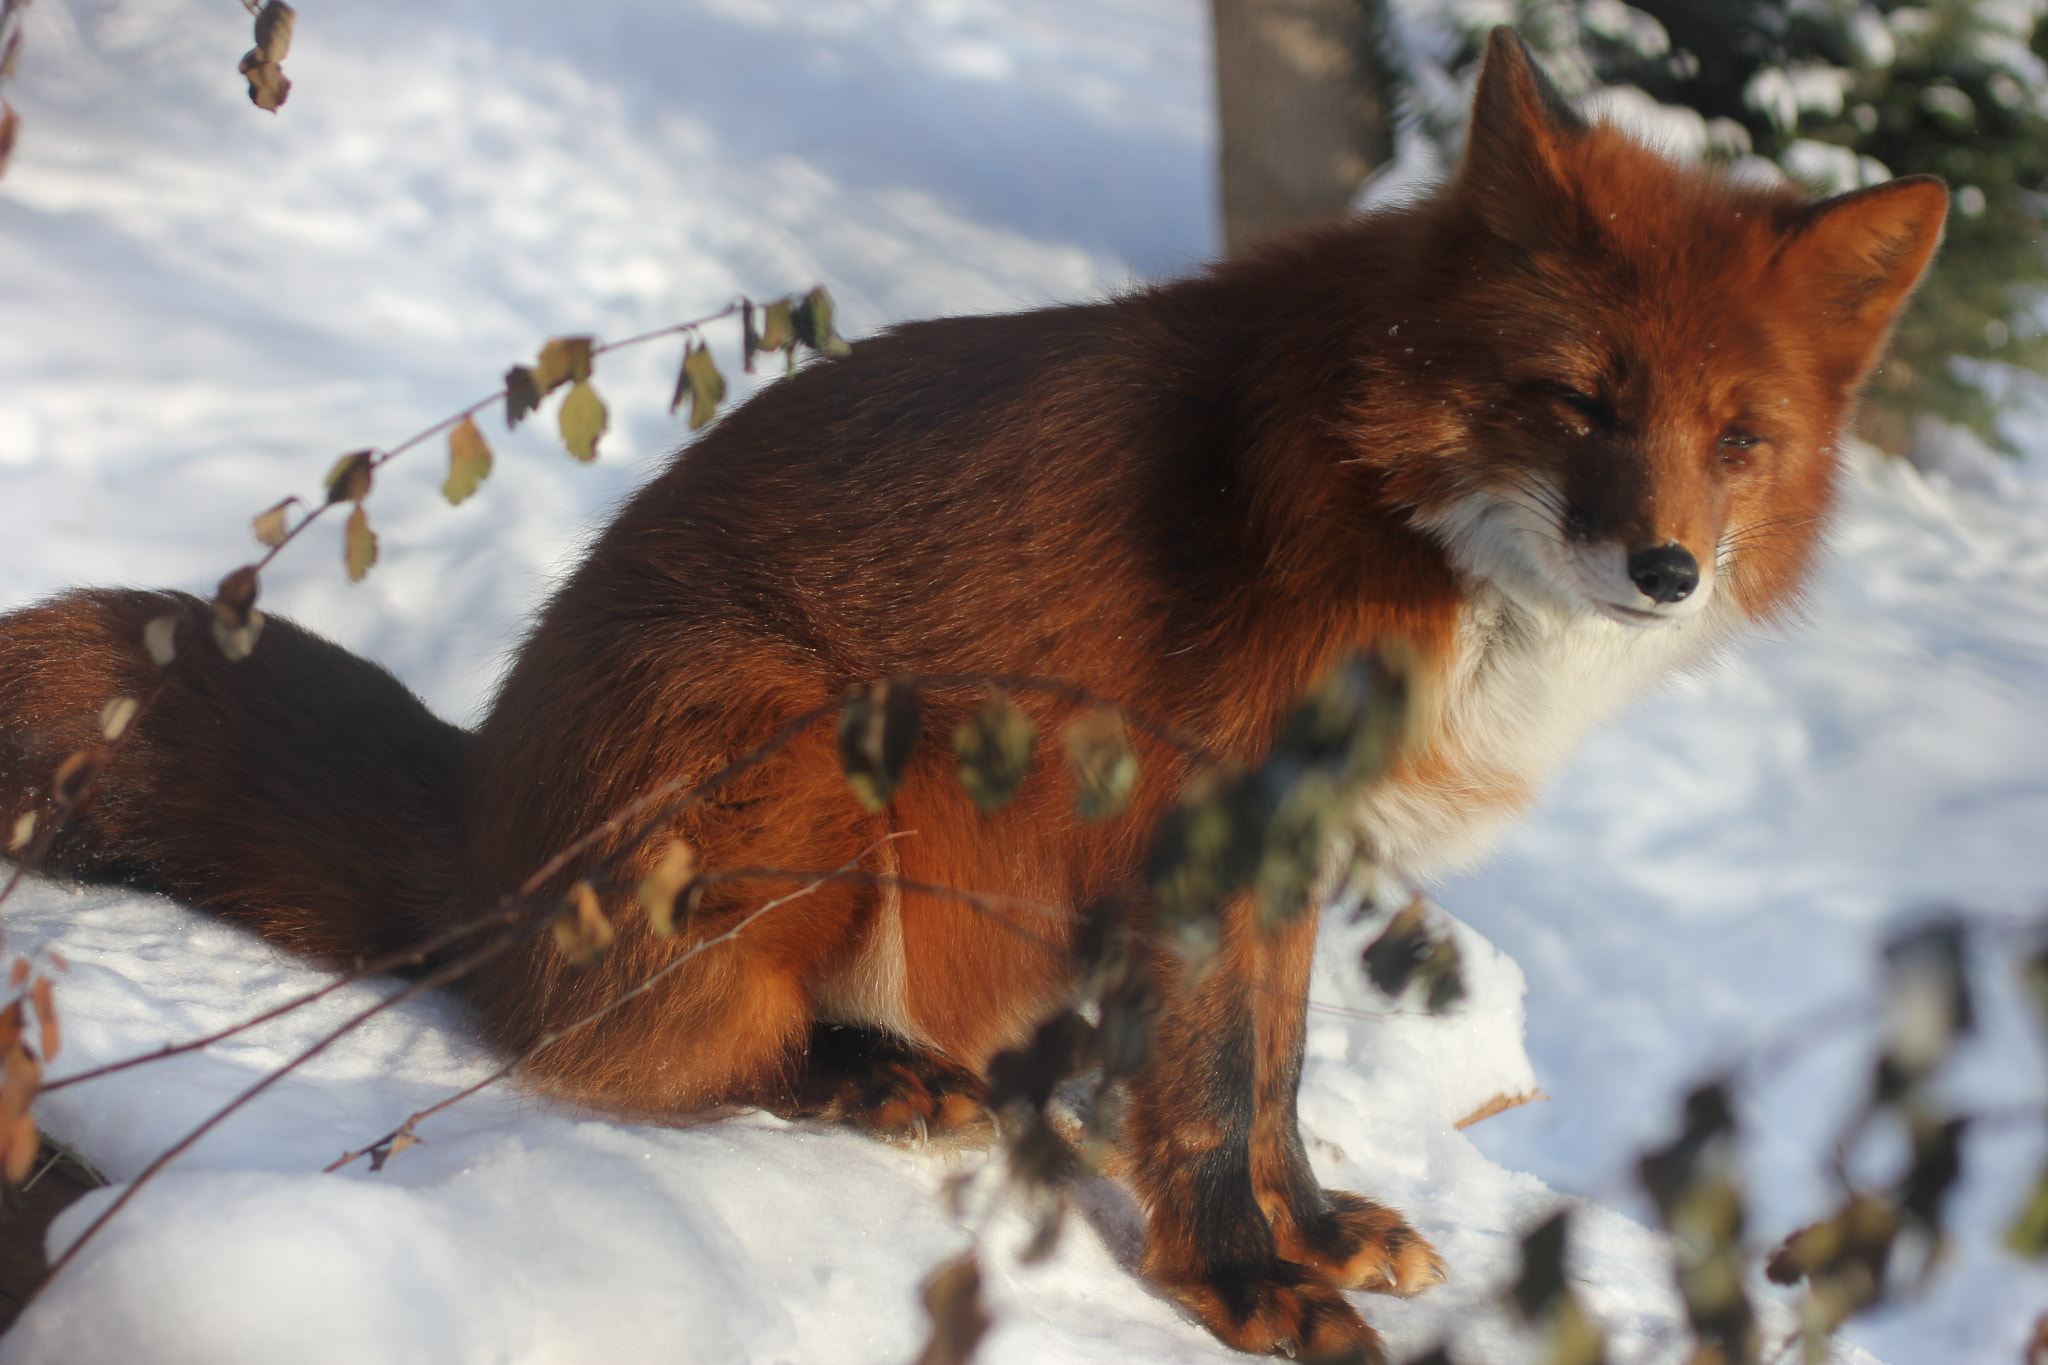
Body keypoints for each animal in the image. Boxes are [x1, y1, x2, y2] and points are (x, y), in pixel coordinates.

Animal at [0, 31, 1933, 1365]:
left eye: (1737, 440)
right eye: (1578, 400)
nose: (1664, 568)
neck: (1408, 523)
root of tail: (482, 819)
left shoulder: (1291, 857)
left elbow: (1276, 1075)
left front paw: (1307, 1230)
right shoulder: (1197, 820)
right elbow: (1210, 1094)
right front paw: (1245, 1282)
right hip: (822, 765)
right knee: (623, 1053)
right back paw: (872, 1080)